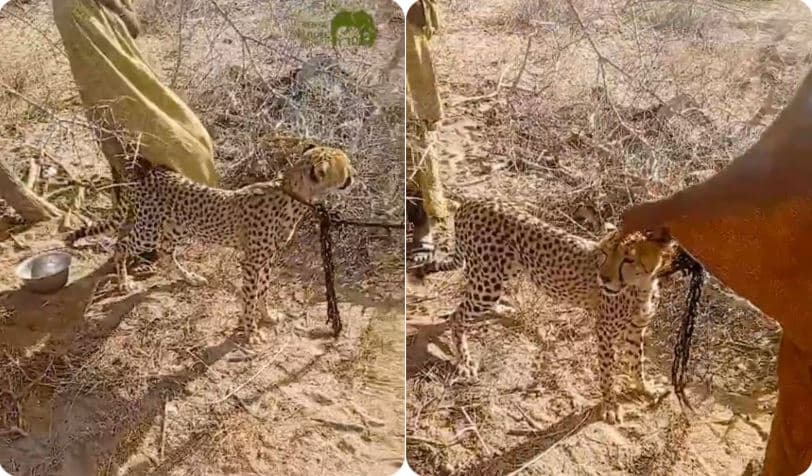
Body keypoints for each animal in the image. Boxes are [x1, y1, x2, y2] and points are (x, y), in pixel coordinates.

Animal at [75, 144, 353, 344]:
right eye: (345, 167)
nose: (355, 175)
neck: (291, 194)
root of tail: (145, 174)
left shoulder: (267, 259)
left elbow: (263, 290)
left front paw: (266, 315)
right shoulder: (251, 262)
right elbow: (250, 296)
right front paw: (251, 331)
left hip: (176, 227)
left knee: (165, 253)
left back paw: (190, 278)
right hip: (149, 230)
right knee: (121, 245)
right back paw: (124, 282)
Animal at [411, 198, 673, 423]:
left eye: (628, 259)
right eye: (605, 253)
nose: (603, 278)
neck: (642, 286)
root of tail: (473, 201)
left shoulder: (636, 329)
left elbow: (636, 362)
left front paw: (645, 388)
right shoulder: (605, 331)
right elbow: (608, 371)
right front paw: (610, 405)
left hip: (502, 271)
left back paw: (504, 310)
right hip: (489, 280)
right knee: (457, 315)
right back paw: (465, 360)